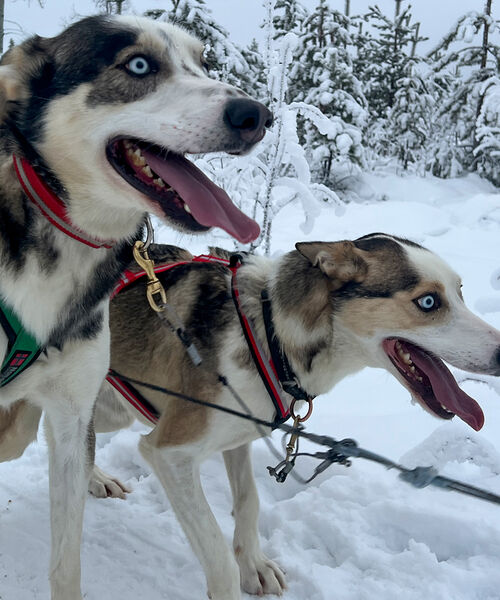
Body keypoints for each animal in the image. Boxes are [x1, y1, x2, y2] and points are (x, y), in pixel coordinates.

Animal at [15, 234, 496, 600]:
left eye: (460, 292)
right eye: (429, 302)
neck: (271, 332)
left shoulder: (238, 436)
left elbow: (248, 501)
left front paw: (254, 565)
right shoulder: (170, 453)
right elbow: (217, 555)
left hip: (113, 407)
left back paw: (93, 477)